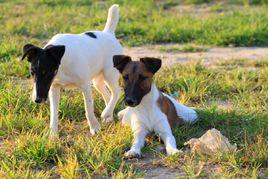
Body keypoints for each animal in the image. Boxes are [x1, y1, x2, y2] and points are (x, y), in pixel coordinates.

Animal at [21, 4, 122, 137]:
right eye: (32, 73)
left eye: (47, 73)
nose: (37, 100)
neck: (62, 64)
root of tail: (108, 33)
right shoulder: (54, 88)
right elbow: (54, 113)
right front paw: (53, 134)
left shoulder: (85, 85)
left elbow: (88, 109)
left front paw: (94, 127)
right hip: (97, 81)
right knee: (108, 95)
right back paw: (108, 115)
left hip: (109, 74)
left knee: (117, 92)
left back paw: (106, 113)